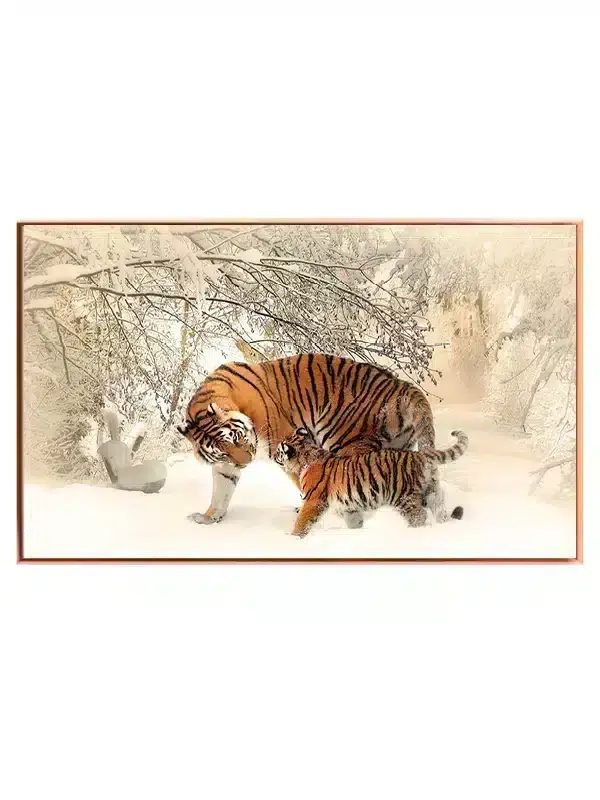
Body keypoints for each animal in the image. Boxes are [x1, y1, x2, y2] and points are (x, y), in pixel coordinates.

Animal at [177, 353, 440, 526]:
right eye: (222, 451)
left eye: (236, 437)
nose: (246, 462)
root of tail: (401, 386)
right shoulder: (225, 465)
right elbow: (221, 489)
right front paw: (209, 517)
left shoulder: (287, 447)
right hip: (397, 450)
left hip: (347, 443)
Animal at [274, 427, 468, 537]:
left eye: (278, 451)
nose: (274, 456)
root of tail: (419, 455)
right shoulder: (348, 505)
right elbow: (353, 521)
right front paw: (357, 531)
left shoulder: (314, 501)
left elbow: (302, 521)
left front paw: (293, 538)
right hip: (431, 490)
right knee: (439, 508)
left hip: (404, 497)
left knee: (419, 516)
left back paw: (412, 532)